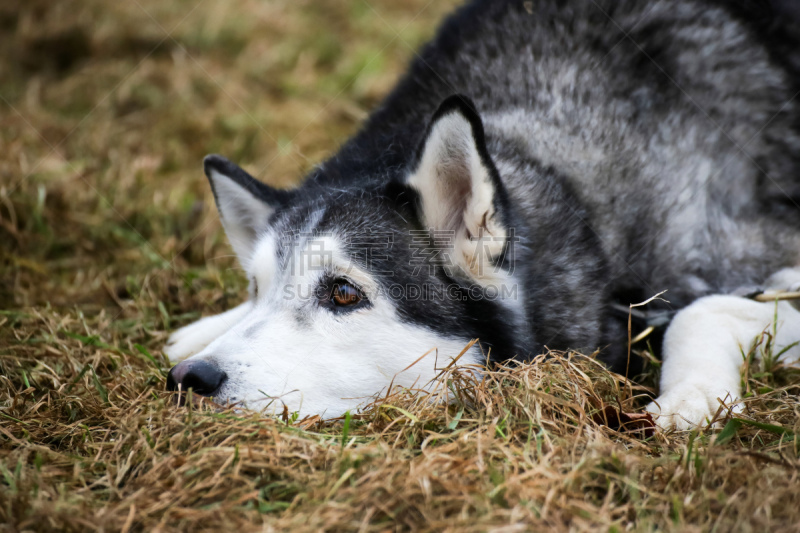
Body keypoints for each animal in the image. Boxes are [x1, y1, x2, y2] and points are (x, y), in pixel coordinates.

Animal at [164, 0, 800, 428]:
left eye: (343, 293)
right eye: (257, 288)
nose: (190, 381)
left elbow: (701, 310)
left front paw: (692, 398)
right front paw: (204, 327)